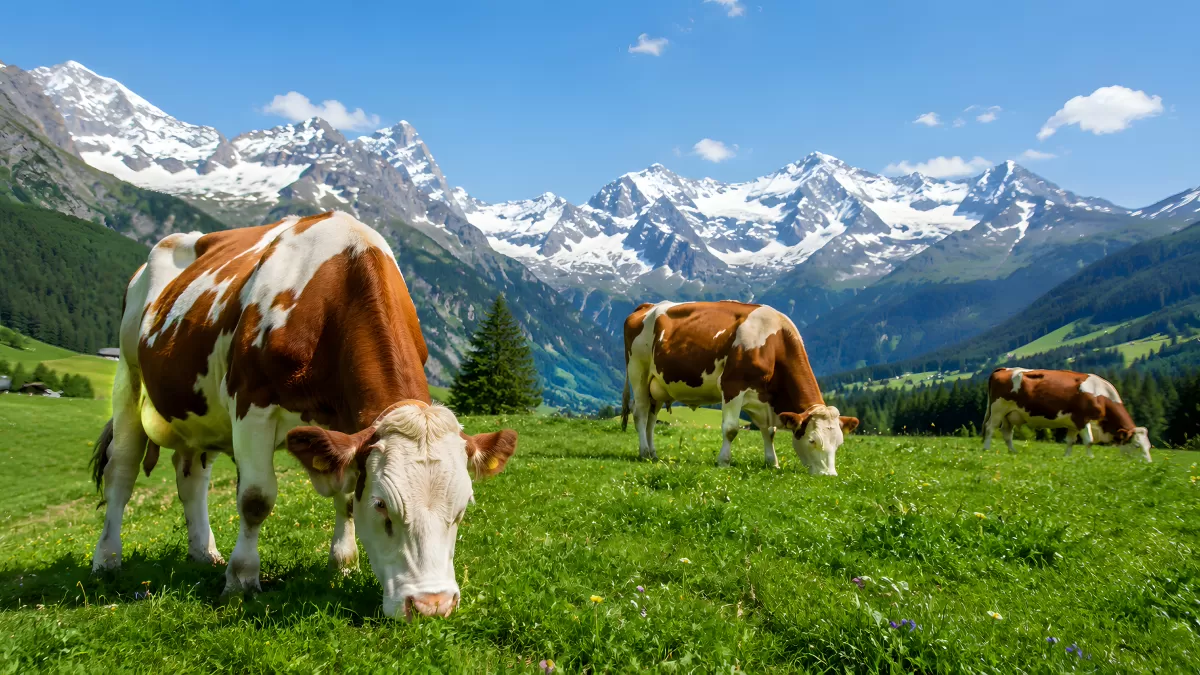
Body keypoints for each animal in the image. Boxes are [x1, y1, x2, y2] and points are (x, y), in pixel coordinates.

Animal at [89, 211, 518, 619]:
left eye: (463, 508)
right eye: (382, 505)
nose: (432, 606)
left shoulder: (346, 426)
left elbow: (346, 497)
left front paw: (343, 564)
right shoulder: (251, 404)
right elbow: (255, 499)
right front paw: (241, 579)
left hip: (198, 412)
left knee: (191, 478)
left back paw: (204, 554)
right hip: (129, 378)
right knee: (121, 473)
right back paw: (107, 559)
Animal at [620, 301, 858, 475]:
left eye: (839, 443)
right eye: (812, 440)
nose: (829, 475)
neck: (773, 343)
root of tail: (648, 306)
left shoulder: (764, 398)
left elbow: (769, 431)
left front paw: (772, 462)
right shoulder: (733, 386)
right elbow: (731, 428)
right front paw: (723, 461)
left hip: (657, 386)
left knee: (651, 419)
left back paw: (653, 453)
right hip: (638, 371)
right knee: (640, 413)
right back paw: (643, 452)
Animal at [982, 367, 1151, 461]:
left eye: (1149, 446)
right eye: (1137, 446)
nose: (1148, 463)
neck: (1100, 395)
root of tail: (1004, 369)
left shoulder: (1074, 424)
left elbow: (1070, 441)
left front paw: (1067, 457)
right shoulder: (1082, 420)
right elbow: (1089, 441)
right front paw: (1090, 458)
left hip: (1010, 414)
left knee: (1006, 433)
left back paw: (1013, 451)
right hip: (998, 409)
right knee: (990, 428)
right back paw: (987, 449)